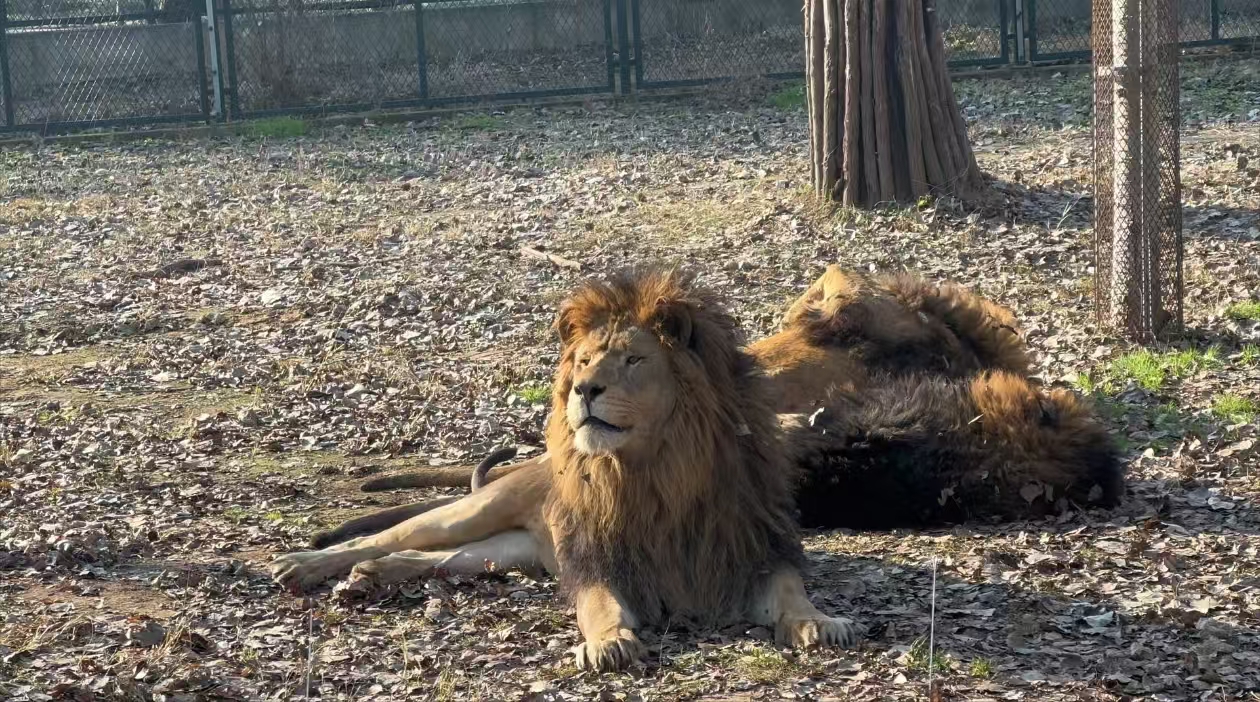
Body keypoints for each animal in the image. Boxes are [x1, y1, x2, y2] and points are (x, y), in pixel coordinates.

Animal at [272, 270, 858, 671]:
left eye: (634, 360)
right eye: (584, 361)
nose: (583, 389)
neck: (659, 472)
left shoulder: (752, 553)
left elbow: (792, 594)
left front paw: (819, 623)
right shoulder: (600, 559)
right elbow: (600, 606)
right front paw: (609, 644)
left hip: (507, 552)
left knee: (432, 559)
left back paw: (373, 576)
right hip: (475, 512)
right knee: (383, 537)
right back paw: (304, 565)